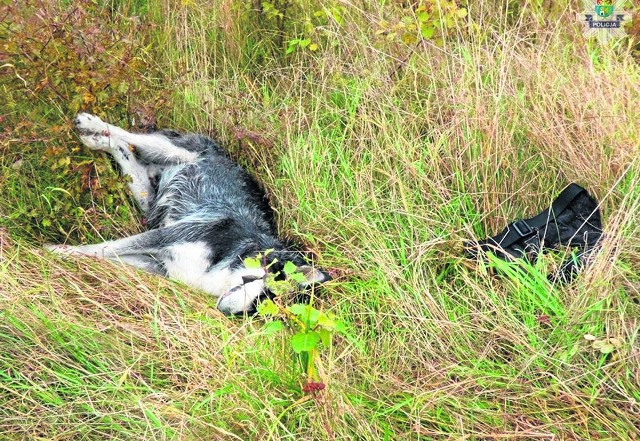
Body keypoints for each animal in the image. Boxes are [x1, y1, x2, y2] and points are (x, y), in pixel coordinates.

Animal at [48, 113, 330, 312]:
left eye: (258, 312)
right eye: (266, 295)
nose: (228, 312)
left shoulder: (160, 265)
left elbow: (103, 255)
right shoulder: (168, 236)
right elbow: (101, 248)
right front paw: (55, 252)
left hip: (148, 199)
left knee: (125, 151)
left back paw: (96, 140)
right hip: (170, 150)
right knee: (127, 135)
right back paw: (91, 124)